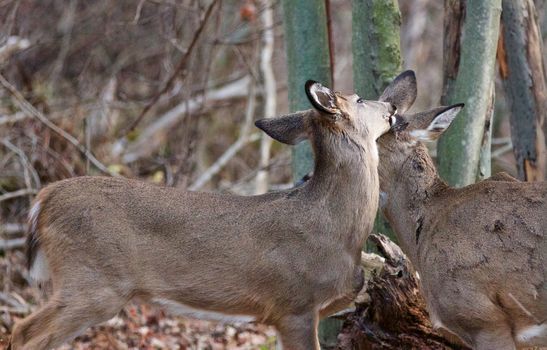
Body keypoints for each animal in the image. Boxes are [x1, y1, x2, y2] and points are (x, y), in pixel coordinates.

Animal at [9, 80, 398, 350]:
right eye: (359, 99)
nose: (393, 105)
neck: (337, 231)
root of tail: (43, 199)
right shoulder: (293, 305)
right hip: (93, 281)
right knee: (24, 332)